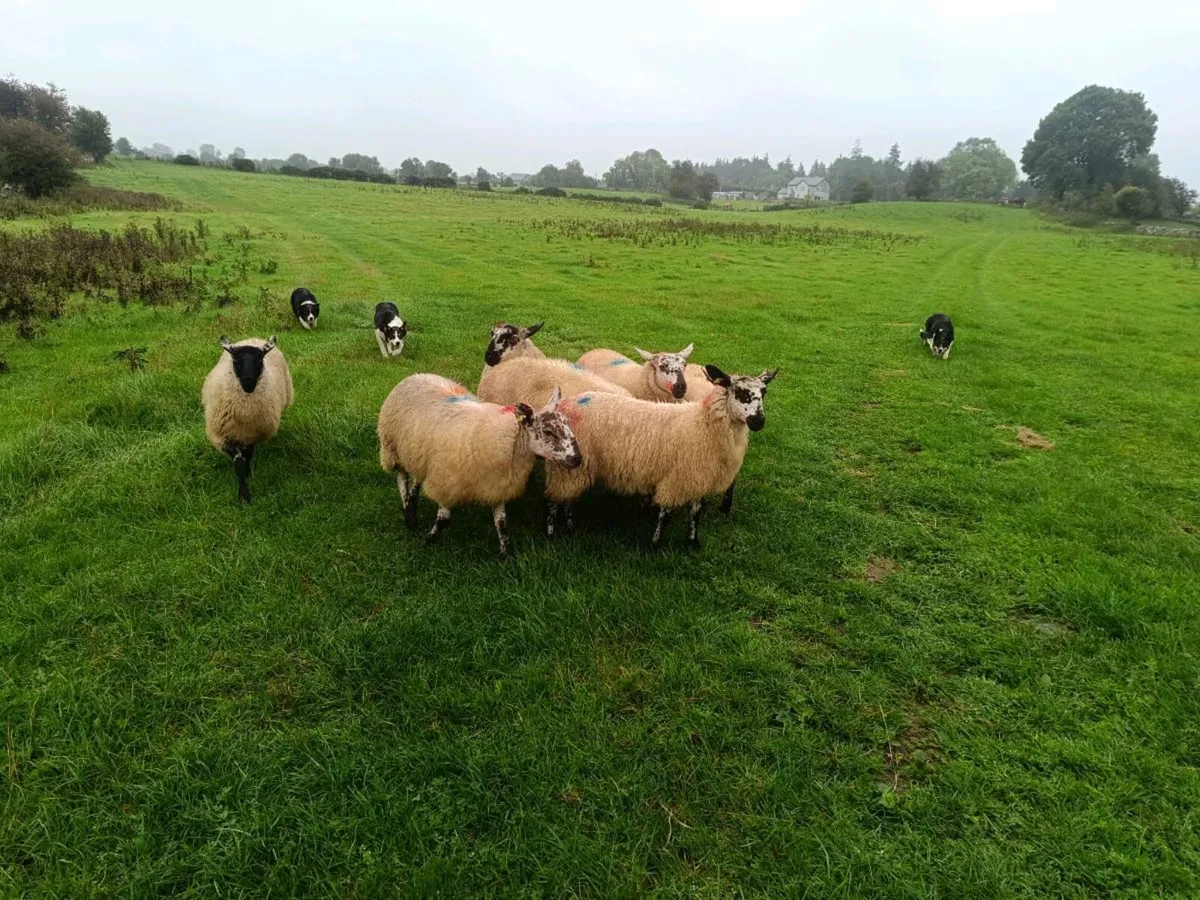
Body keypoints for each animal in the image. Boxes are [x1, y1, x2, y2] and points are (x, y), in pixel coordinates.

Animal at [202, 336, 294, 503]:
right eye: (236, 360)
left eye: (259, 361)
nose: (248, 383)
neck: (244, 408)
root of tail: (253, 338)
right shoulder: (225, 436)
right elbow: (238, 462)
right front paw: (244, 495)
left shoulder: (251, 435)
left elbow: (248, 456)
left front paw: (248, 476)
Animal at [378, 375, 581, 557]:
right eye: (548, 432)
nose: (578, 458)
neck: (513, 441)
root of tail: (415, 375)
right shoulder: (446, 480)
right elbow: (444, 519)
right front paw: (429, 540)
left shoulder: (496, 484)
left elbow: (501, 522)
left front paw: (505, 553)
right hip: (392, 449)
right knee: (402, 479)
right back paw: (408, 513)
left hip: (417, 454)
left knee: (417, 480)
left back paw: (412, 502)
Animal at [544, 365, 778, 548]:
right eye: (739, 391)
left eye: (764, 392)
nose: (758, 421)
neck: (703, 424)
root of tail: (567, 403)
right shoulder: (677, 478)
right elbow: (665, 514)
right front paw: (655, 544)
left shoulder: (697, 475)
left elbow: (696, 512)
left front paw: (693, 542)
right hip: (567, 466)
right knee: (556, 500)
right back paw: (552, 531)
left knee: (566, 498)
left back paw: (570, 527)